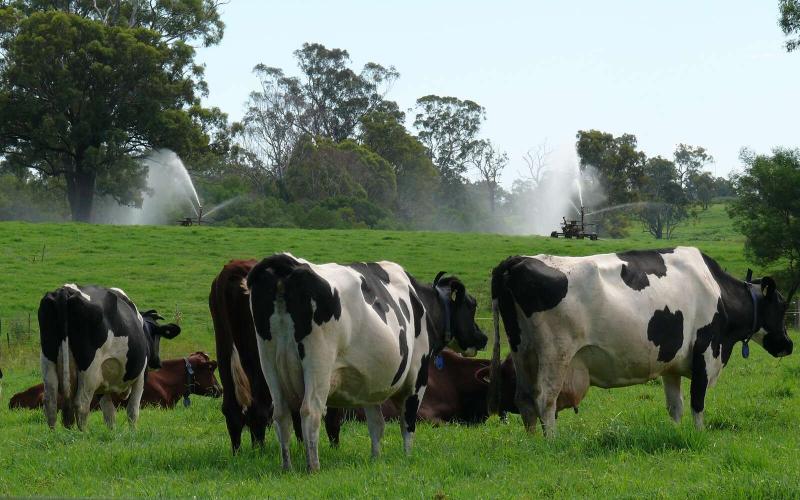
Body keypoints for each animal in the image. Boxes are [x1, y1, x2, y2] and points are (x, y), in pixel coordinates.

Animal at [38, 284, 181, 430]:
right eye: (157, 336)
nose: (158, 362)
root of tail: (66, 290)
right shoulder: (141, 375)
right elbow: (132, 410)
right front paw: (133, 431)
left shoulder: (103, 379)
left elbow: (109, 413)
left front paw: (112, 431)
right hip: (90, 368)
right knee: (81, 403)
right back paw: (83, 432)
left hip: (48, 361)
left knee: (50, 402)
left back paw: (54, 432)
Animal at [247, 253, 487, 471]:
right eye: (472, 305)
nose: (483, 337)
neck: (422, 304)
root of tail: (289, 264)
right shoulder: (417, 377)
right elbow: (408, 422)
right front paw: (408, 457)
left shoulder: (370, 383)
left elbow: (377, 425)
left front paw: (375, 458)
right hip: (318, 365)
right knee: (310, 412)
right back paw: (313, 467)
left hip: (269, 363)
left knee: (281, 414)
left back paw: (287, 466)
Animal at [488, 247, 795, 436]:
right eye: (781, 306)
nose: (789, 345)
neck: (718, 290)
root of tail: (517, 260)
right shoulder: (706, 353)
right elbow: (697, 402)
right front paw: (700, 435)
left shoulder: (672, 364)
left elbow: (675, 406)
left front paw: (676, 434)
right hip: (556, 354)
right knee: (545, 400)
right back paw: (552, 442)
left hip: (523, 352)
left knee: (524, 399)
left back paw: (532, 442)